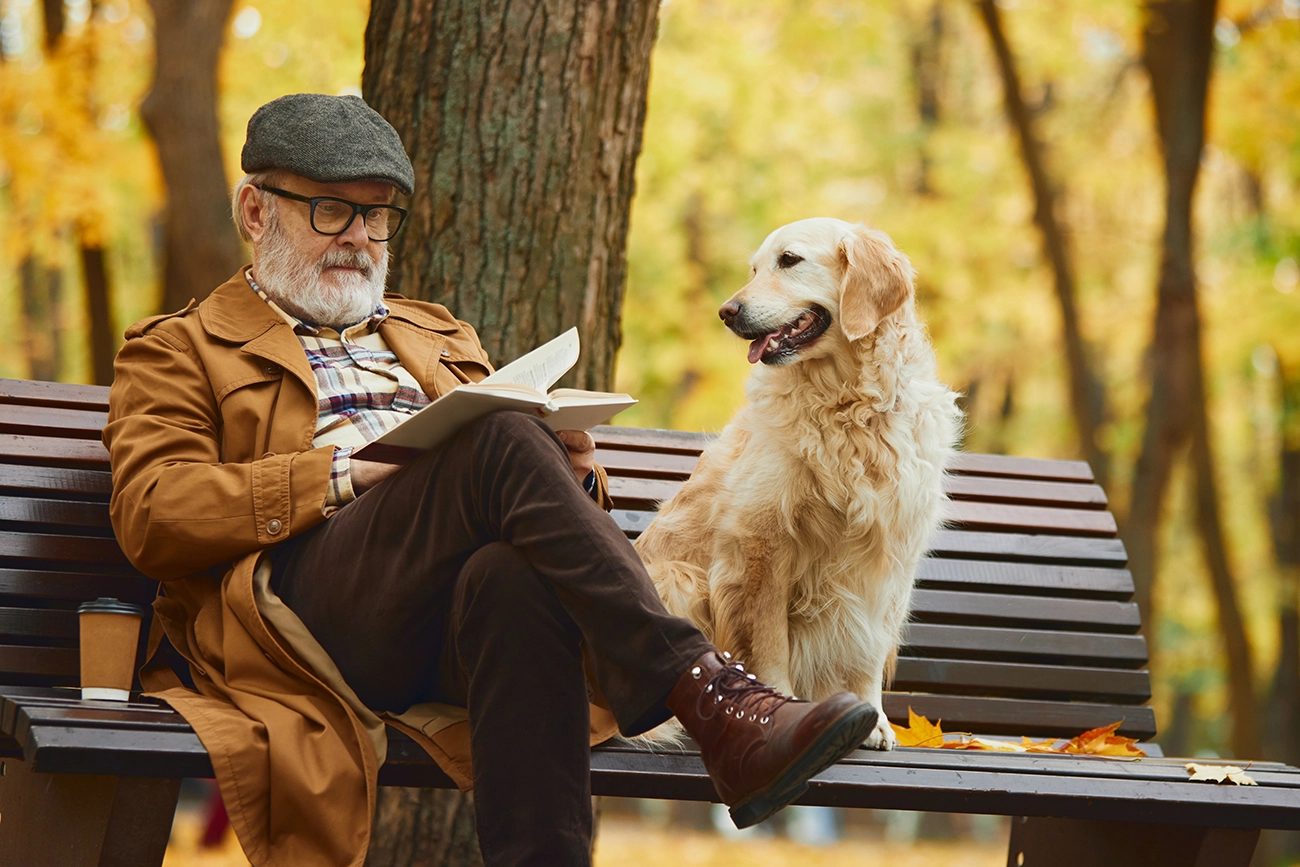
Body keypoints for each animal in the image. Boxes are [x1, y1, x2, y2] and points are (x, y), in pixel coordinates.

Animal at [634, 218, 961, 753]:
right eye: (753, 269)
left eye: (789, 260)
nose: (726, 312)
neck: (847, 405)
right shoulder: (761, 543)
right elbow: (769, 643)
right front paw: (780, 710)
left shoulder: (890, 550)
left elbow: (870, 648)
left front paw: (874, 719)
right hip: (680, 577)